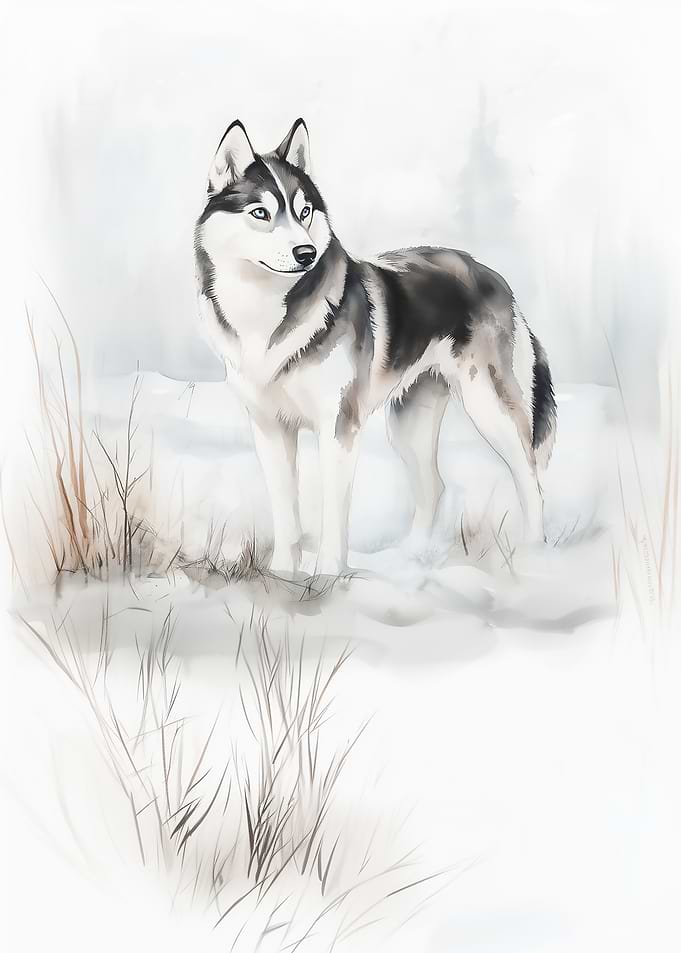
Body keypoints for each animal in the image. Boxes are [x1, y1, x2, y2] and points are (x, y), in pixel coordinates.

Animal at [194, 118, 557, 575]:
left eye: (304, 212)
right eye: (261, 213)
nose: (306, 252)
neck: (265, 316)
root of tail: (491, 274)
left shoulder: (338, 427)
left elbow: (333, 512)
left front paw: (328, 575)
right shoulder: (270, 428)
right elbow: (285, 510)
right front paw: (281, 573)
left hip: (490, 410)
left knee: (531, 480)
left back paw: (533, 558)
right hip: (408, 426)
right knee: (434, 487)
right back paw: (411, 558)